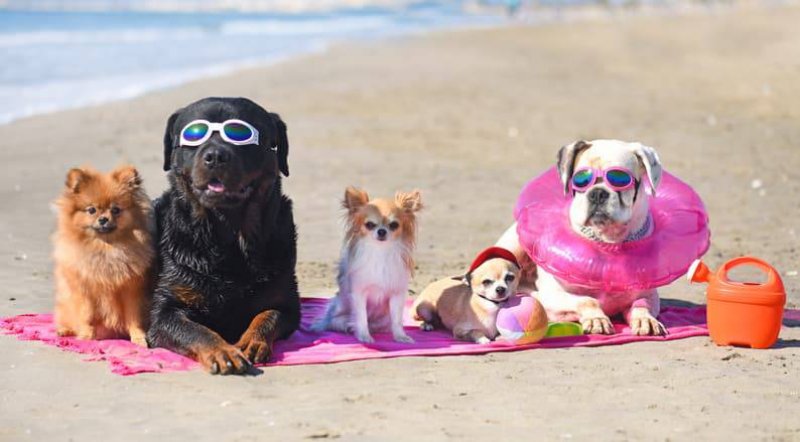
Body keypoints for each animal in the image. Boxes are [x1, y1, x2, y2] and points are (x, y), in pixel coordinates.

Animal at [52, 166, 156, 346]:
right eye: (91, 210)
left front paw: (138, 337)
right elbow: (86, 315)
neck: (106, 248)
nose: (103, 219)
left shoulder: (131, 290)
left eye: (115, 210)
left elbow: (133, 317)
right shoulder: (84, 290)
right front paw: (87, 336)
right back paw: (65, 330)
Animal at [147, 98, 300, 374]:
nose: (215, 156)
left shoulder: (287, 303)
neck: (228, 234)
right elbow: (194, 329)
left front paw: (252, 340)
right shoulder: (165, 309)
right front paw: (221, 350)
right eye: (194, 134)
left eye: (240, 133)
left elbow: (268, 314)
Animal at [312, 185, 424, 344]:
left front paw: (400, 336)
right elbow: (361, 318)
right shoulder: (359, 293)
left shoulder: (396, 294)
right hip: (338, 310)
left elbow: (396, 320)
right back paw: (349, 327)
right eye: (370, 225)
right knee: (338, 322)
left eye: (394, 225)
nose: (382, 231)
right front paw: (364, 336)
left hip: (383, 318)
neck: (380, 252)